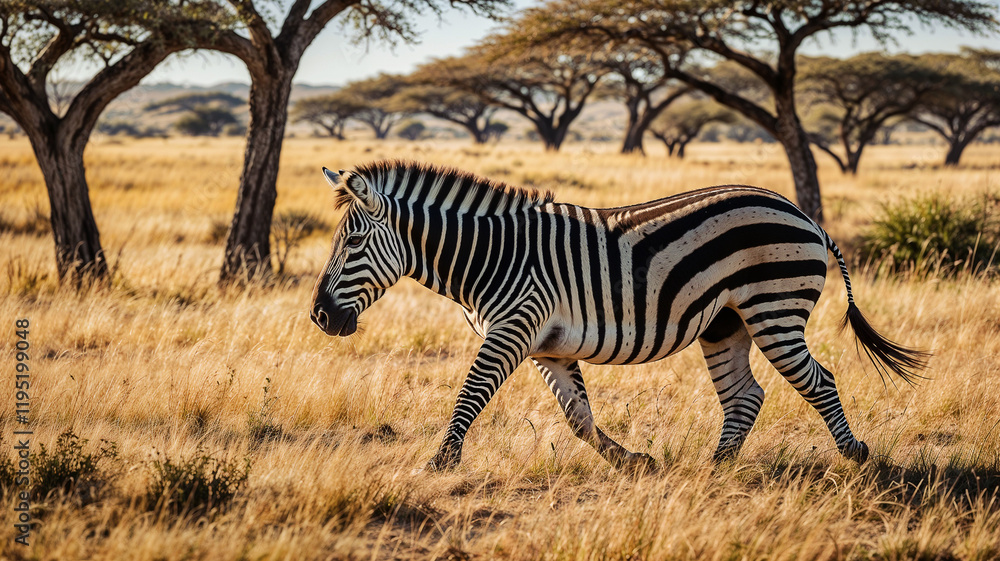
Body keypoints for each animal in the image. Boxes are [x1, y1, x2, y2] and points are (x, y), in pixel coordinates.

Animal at [310, 160, 927, 472]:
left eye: (354, 242)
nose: (319, 317)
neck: (492, 253)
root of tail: (803, 214)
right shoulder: (547, 343)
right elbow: (578, 417)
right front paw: (630, 461)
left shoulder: (514, 327)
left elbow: (470, 394)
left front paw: (439, 463)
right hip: (726, 322)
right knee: (745, 396)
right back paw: (714, 470)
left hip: (772, 308)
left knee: (819, 381)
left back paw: (857, 459)